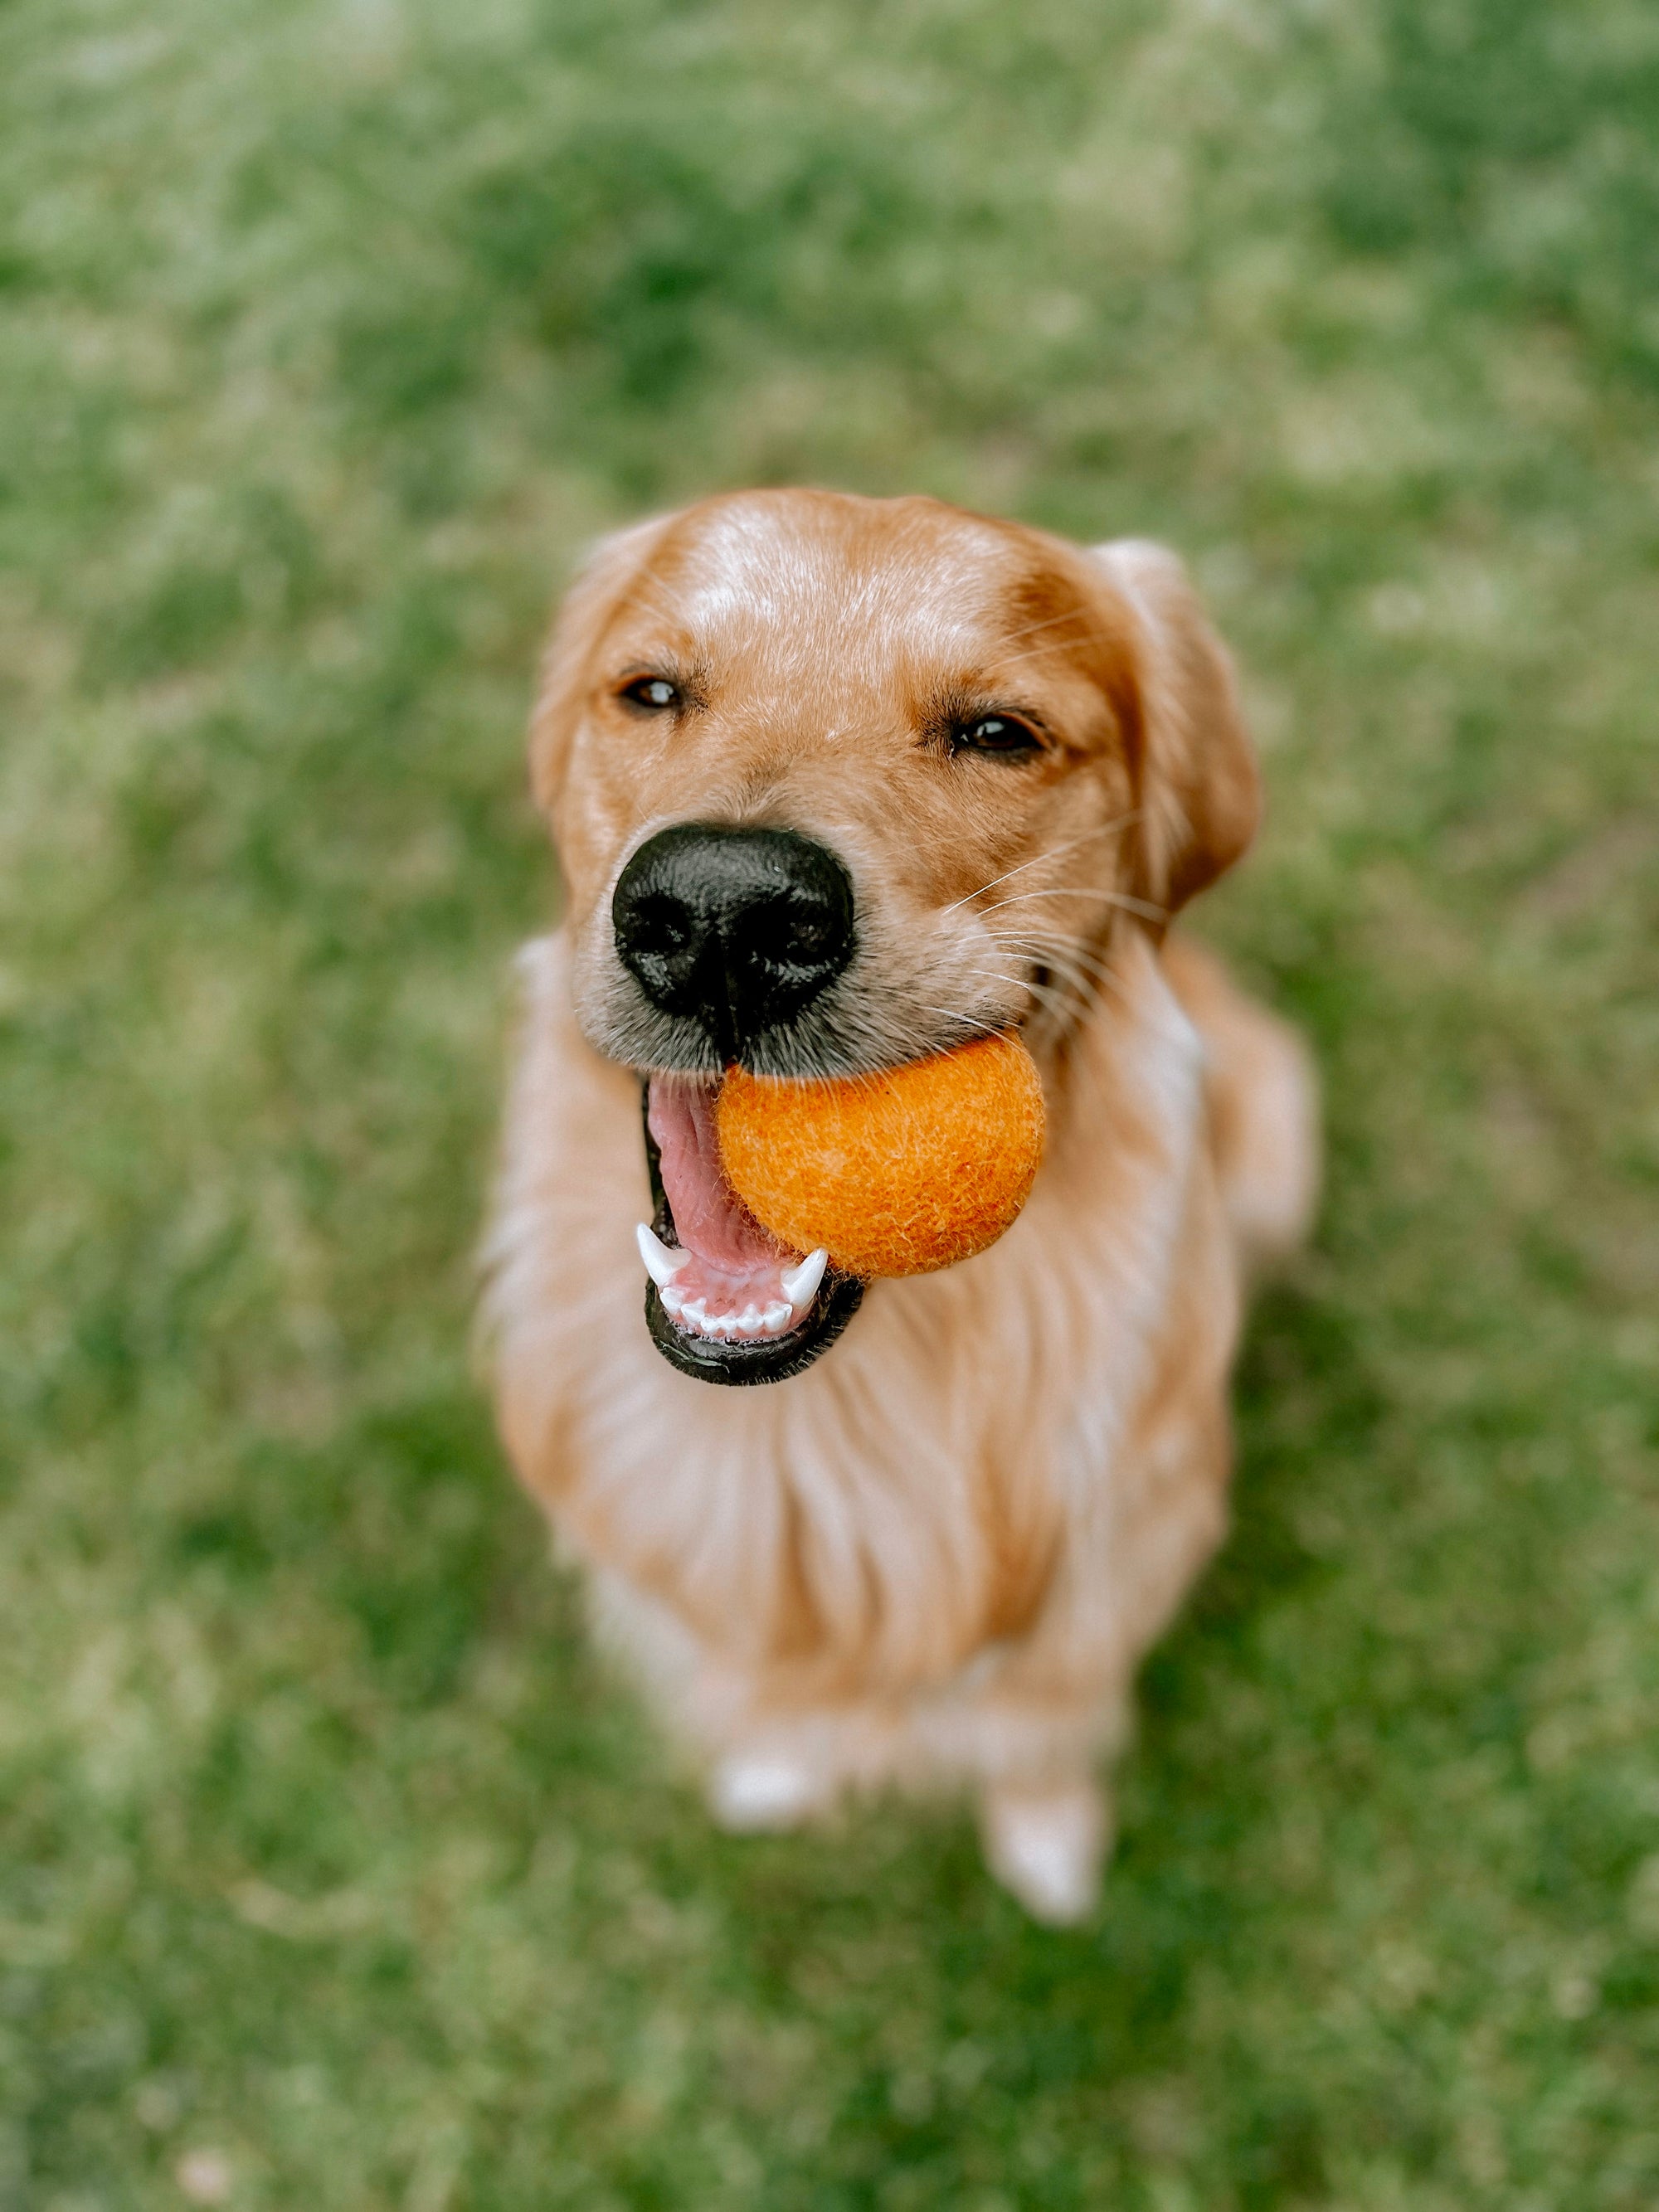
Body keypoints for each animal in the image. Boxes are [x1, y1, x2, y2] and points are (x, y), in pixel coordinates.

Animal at [484, 489, 1327, 1919]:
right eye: (651, 691)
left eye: (998, 732)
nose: (722, 911)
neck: (833, 1415)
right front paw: (776, 1767)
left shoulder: (1111, 1572)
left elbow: (1044, 1724)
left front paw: (1049, 1844)